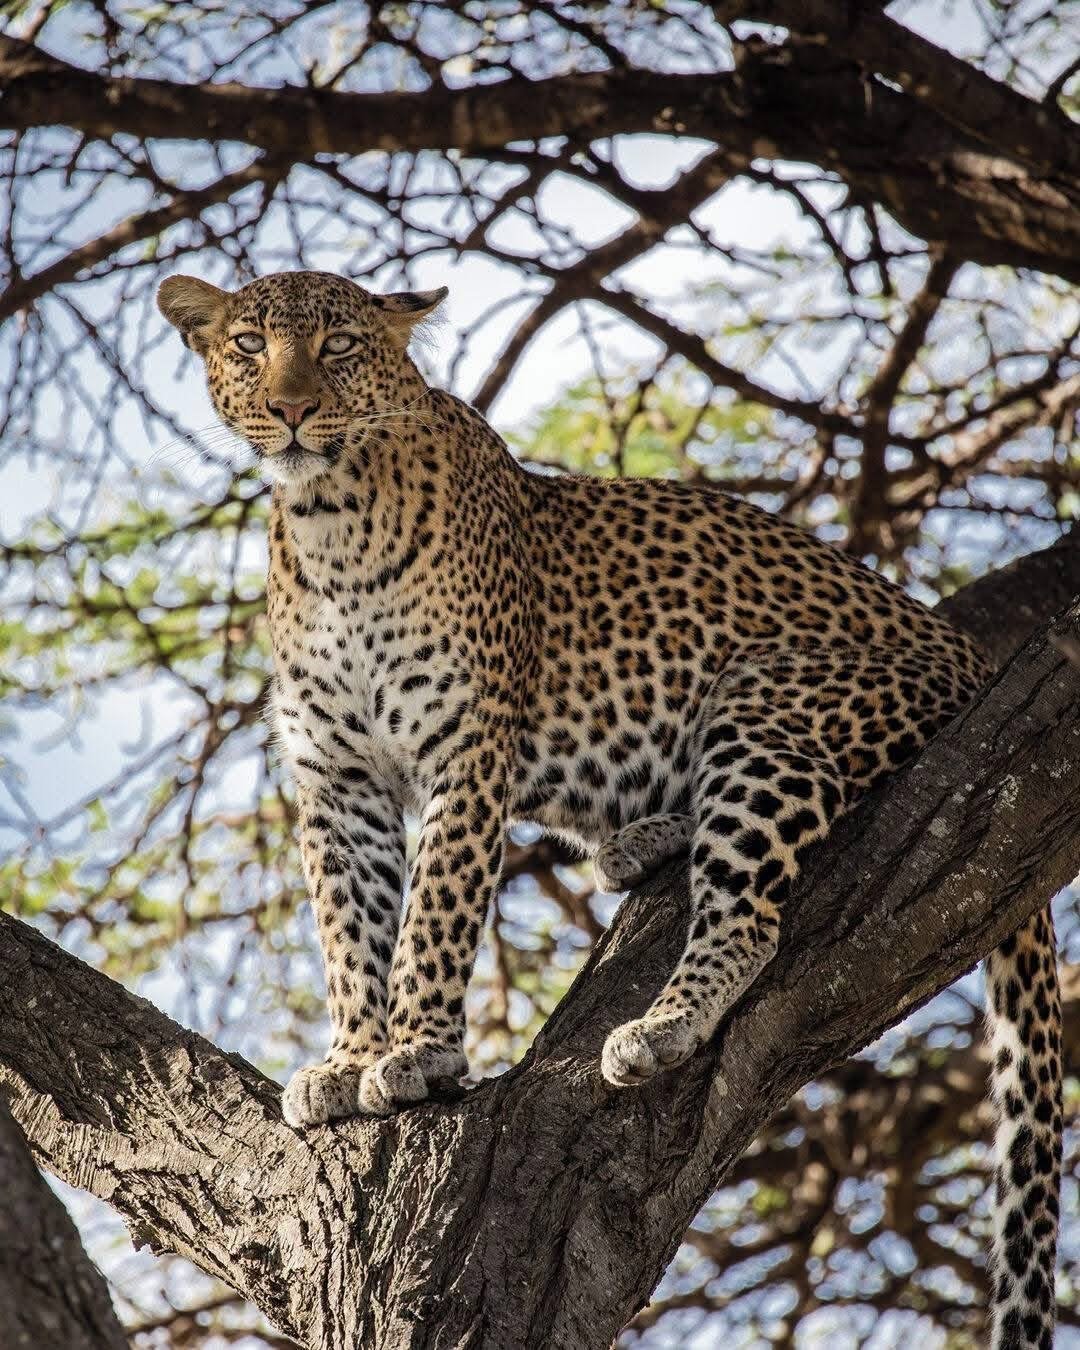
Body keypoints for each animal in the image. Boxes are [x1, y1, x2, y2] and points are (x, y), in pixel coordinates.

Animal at [158, 269, 1062, 1350]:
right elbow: (349, 931)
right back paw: (641, 841)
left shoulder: (468, 747)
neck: (329, 521)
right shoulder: (337, 780)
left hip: (768, 700)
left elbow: (433, 916)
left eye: (338, 347)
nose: (292, 410)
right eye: (250, 346)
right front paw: (347, 1059)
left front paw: (415, 1052)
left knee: (748, 914)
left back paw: (657, 1026)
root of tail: (968, 651)